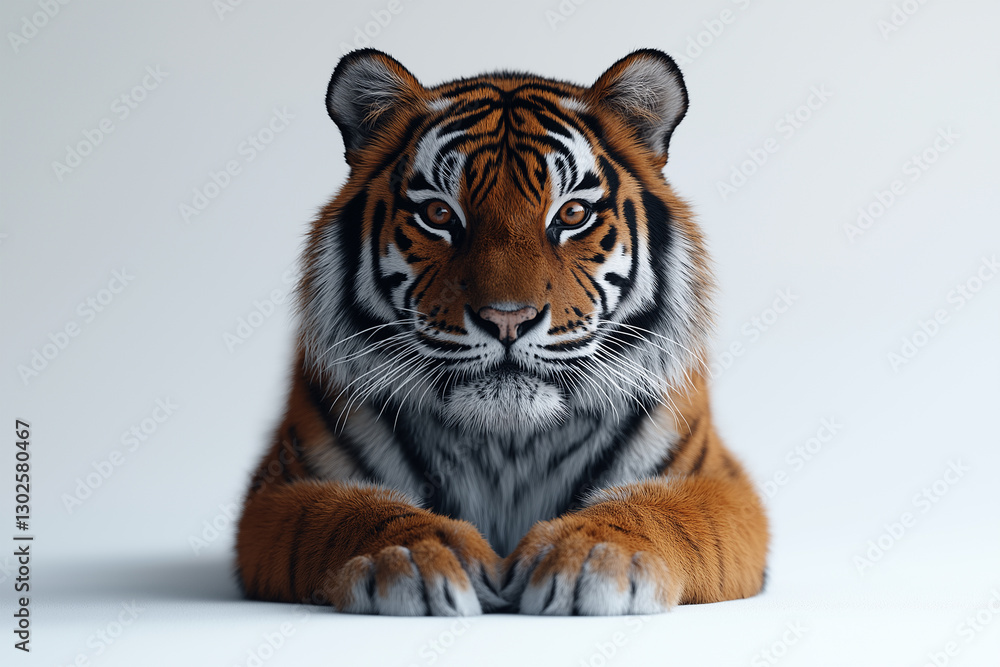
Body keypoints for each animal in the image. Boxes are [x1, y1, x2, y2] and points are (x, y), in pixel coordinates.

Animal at [235, 48, 769, 616]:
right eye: (439, 213)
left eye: (572, 213)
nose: (507, 318)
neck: (507, 443)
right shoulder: (283, 486)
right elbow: (351, 509)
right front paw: (417, 554)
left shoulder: (716, 481)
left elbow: (657, 507)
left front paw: (593, 554)